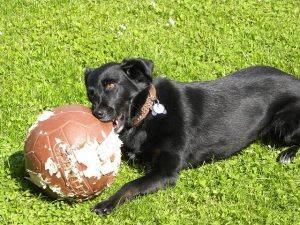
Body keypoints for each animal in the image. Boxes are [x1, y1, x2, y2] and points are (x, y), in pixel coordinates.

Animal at [84, 57, 300, 214]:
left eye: (111, 85)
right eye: (91, 93)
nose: (96, 113)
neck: (148, 114)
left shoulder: (167, 170)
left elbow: (131, 185)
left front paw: (106, 203)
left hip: (284, 125)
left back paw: (287, 155)